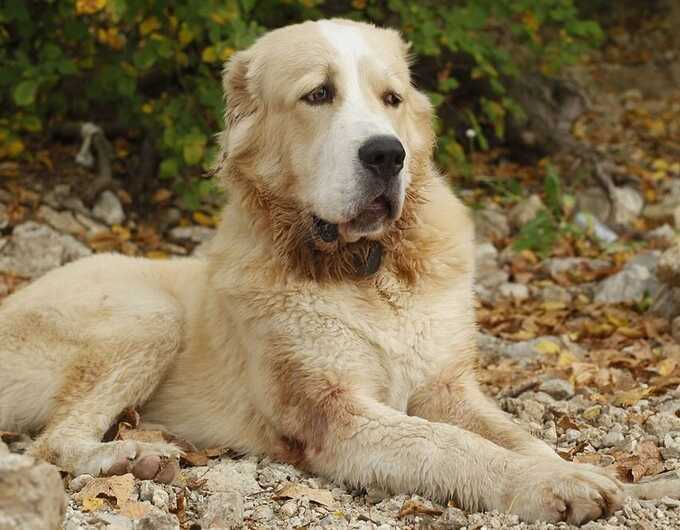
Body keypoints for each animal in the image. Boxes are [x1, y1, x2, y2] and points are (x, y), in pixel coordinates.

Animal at [0, 17, 676, 524]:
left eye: (391, 99)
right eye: (318, 95)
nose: (386, 155)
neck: (368, 270)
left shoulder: (448, 389)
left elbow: (515, 434)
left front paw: (597, 476)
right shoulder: (335, 414)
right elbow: (447, 443)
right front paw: (547, 486)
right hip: (151, 315)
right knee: (51, 441)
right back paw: (132, 459)